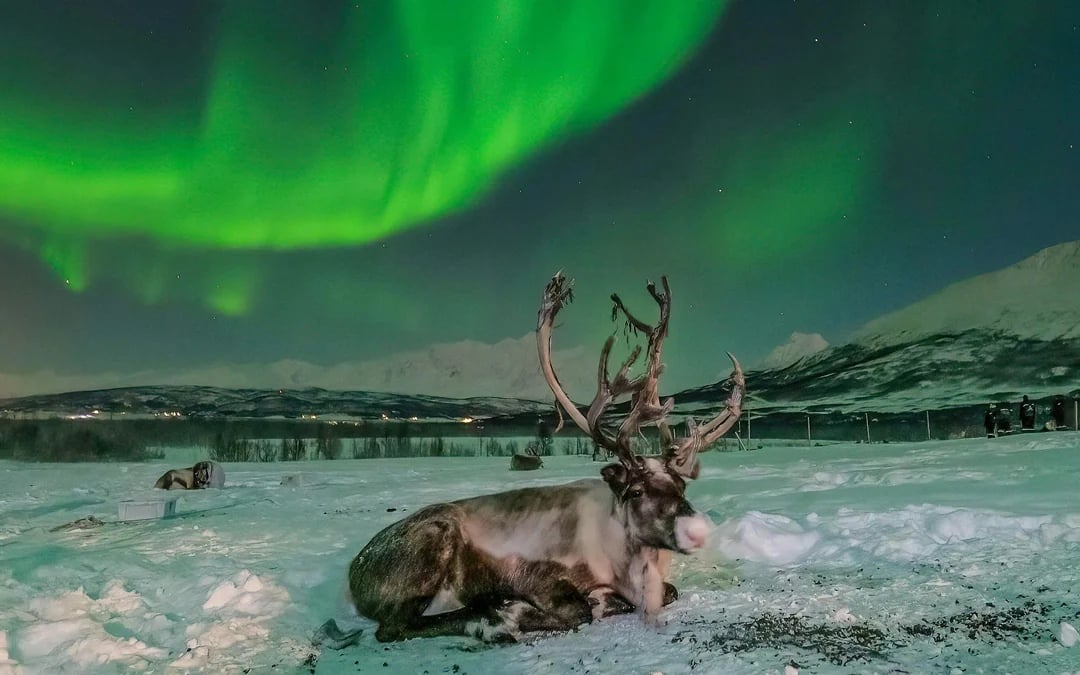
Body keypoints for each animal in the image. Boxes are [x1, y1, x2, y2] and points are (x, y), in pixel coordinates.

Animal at [316, 272, 743, 646]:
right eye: (635, 491)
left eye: (681, 485)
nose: (697, 529)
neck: (619, 553)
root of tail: (354, 572)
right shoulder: (533, 573)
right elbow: (579, 609)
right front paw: (522, 611)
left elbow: (668, 591)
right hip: (433, 544)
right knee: (394, 626)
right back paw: (493, 621)